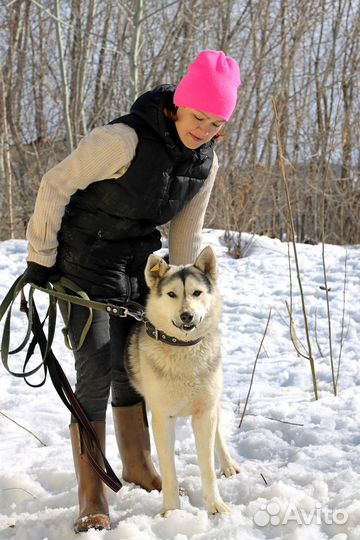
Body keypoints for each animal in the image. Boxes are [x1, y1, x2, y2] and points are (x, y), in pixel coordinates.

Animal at [126, 245, 239, 516]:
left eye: (197, 292)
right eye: (171, 294)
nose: (186, 316)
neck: (183, 348)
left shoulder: (205, 414)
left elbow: (207, 467)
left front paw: (216, 506)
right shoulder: (162, 418)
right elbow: (169, 472)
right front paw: (171, 512)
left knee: (218, 434)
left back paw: (228, 465)